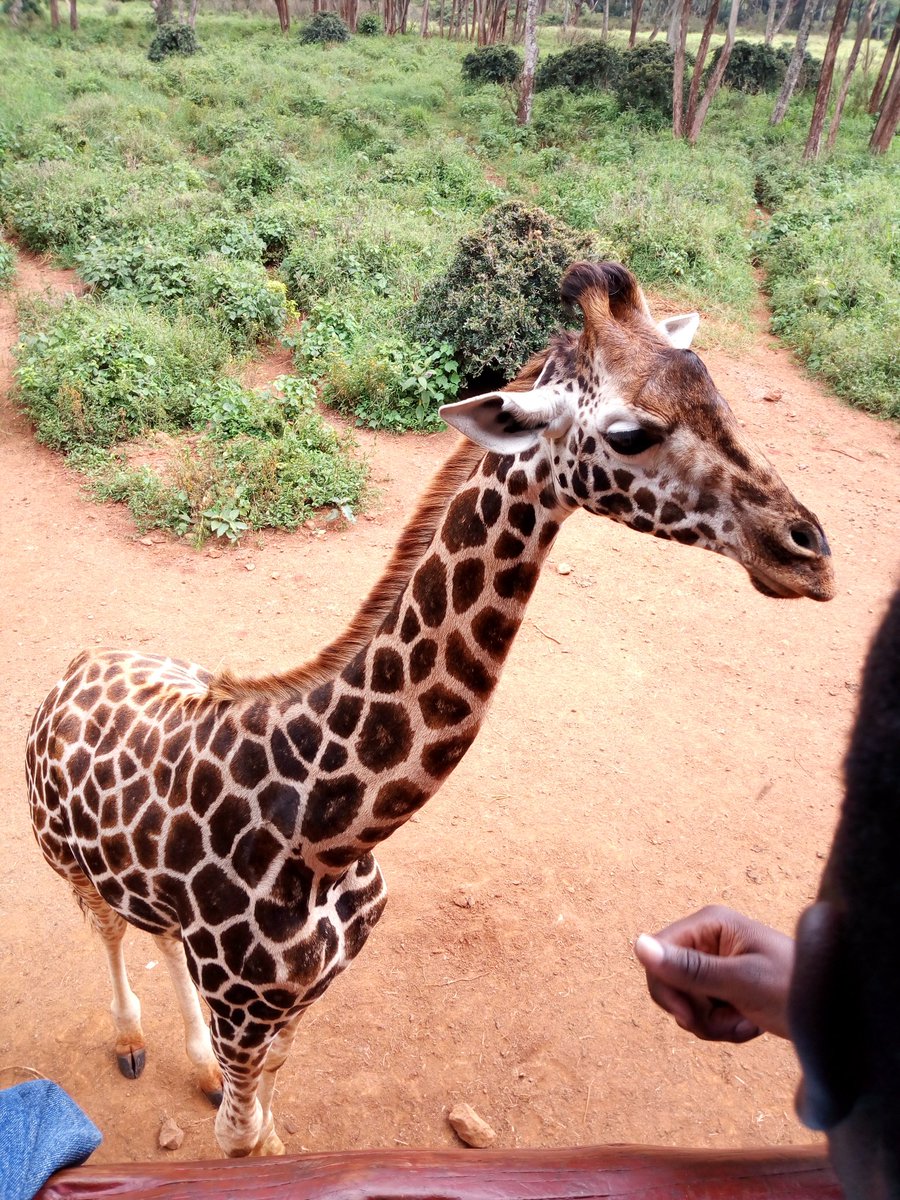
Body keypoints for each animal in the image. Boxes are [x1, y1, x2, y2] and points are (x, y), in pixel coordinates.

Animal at [26, 262, 835, 1159]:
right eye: (630, 434)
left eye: (718, 391)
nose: (808, 553)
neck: (327, 836)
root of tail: (74, 667)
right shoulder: (246, 1005)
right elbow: (240, 1140)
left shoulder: (300, 1000)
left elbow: (268, 1120)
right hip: (66, 864)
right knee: (106, 927)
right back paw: (131, 1042)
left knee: (159, 935)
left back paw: (194, 1064)